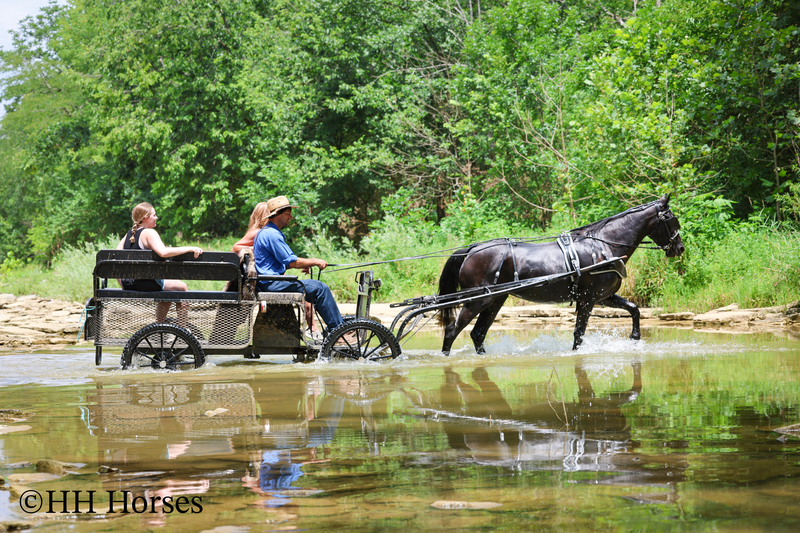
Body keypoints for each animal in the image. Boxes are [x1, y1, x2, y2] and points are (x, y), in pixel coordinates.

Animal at [437, 194, 685, 354]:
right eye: (671, 218)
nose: (680, 248)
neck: (604, 246)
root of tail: (472, 249)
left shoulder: (603, 297)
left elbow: (634, 308)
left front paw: (634, 337)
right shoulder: (588, 299)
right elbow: (579, 334)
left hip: (495, 300)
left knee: (478, 334)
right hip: (477, 301)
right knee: (451, 331)